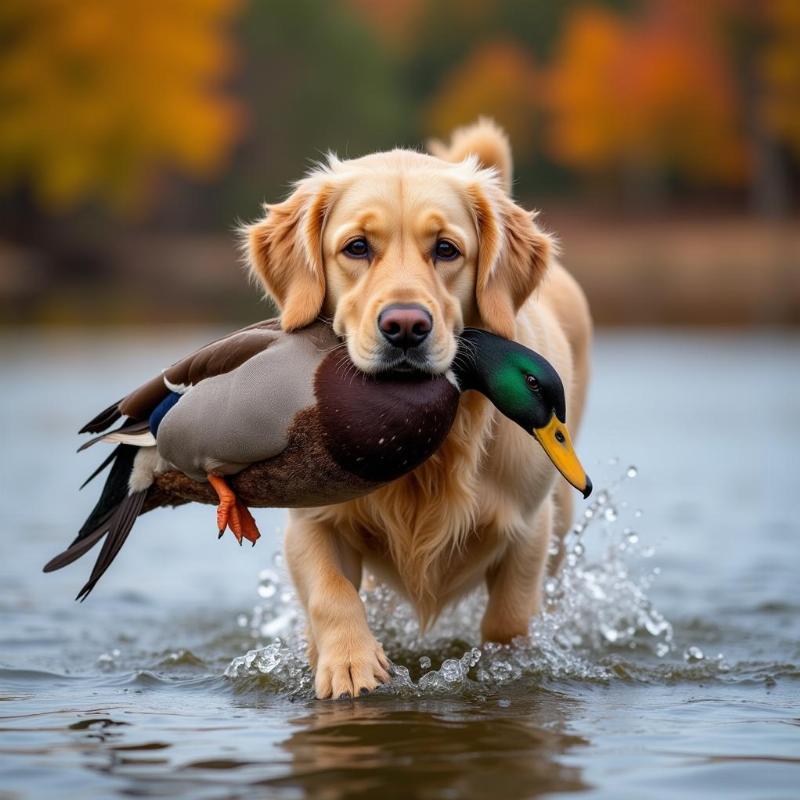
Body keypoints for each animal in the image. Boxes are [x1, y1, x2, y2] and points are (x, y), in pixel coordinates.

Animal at [245, 119, 592, 700]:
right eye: (357, 247)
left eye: (447, 249)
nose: (405, 326)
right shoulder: (310, 520)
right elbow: (331, 592)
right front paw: (349, 664)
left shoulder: (529, 530)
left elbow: (508, 621)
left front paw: (505, 666)